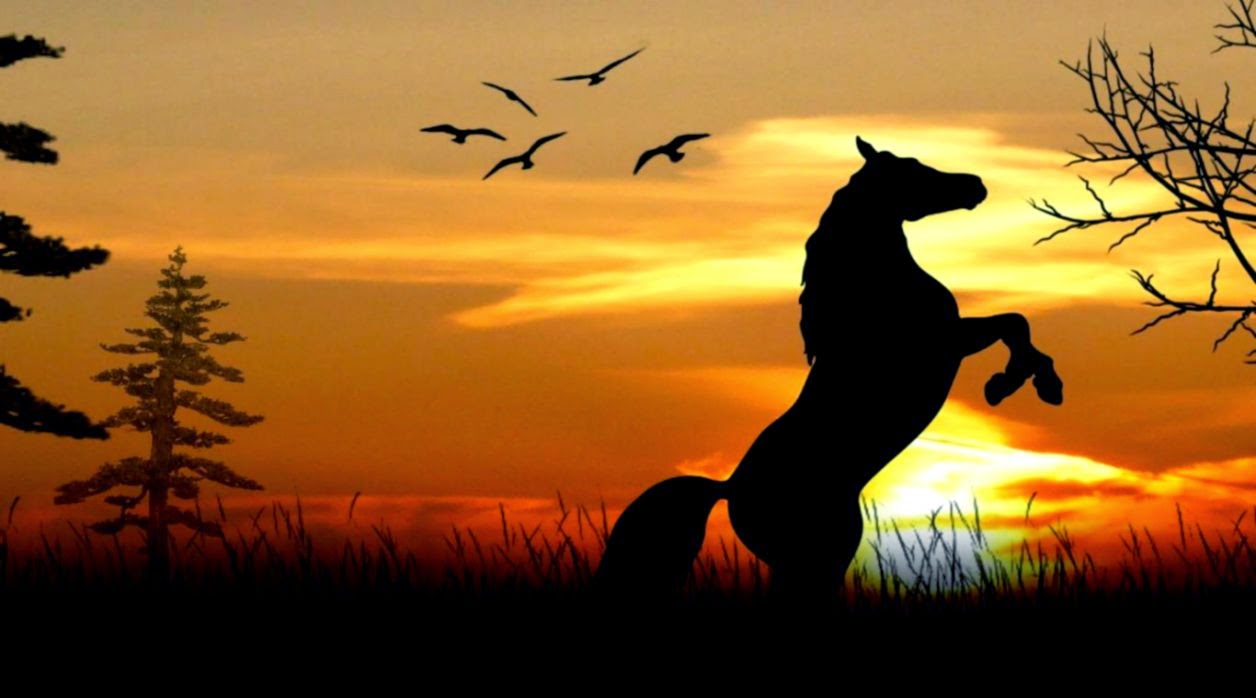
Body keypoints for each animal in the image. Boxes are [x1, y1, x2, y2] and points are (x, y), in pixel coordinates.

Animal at [594, 136, 1063, 603]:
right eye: (912, 168)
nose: (975, 184)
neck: (872, 286)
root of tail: (728, 488)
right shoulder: (947, 341)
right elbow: (1014, 323)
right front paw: (1022, 385)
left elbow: (1016, 322)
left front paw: (1023, 384)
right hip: (822, 555)